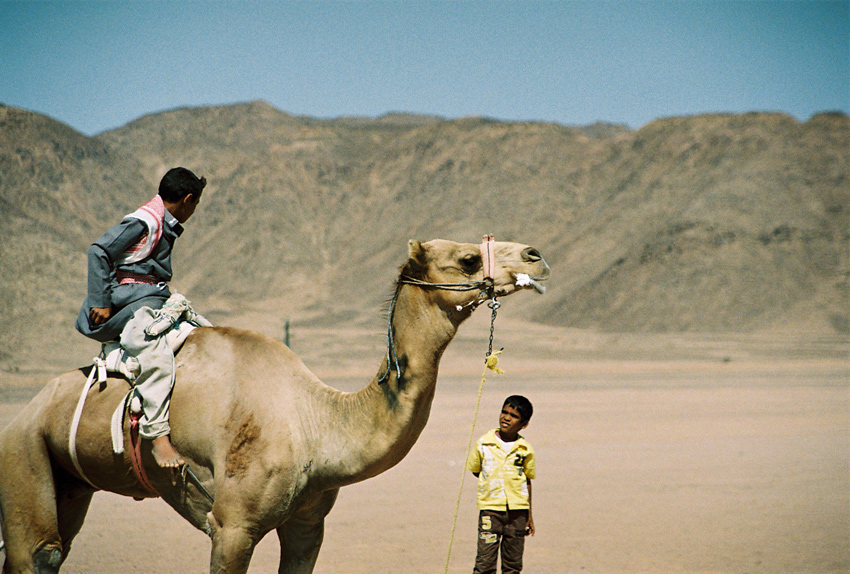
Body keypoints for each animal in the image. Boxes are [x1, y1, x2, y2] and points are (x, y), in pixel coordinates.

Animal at [0, 238, 550, 574]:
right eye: (468, 260)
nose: (535, 255)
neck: (318, 421)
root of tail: (25, 411)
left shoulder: (308, 525)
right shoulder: (231, 526)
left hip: (71, 478)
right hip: (23, 449)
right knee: (40, 553)